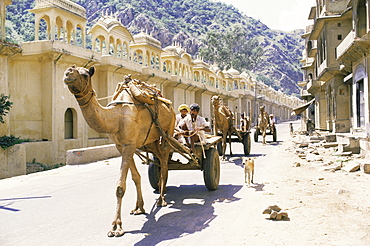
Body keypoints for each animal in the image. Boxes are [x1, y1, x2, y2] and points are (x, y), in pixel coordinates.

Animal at [62, 65, 176, 236]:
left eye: (85, 74)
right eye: (71, 69)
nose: (68, 72)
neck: (115, 118)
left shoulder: (129, 145)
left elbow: (120, 187)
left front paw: (116, 226)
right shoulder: (122, 146)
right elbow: (135, 177)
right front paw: (139, 208)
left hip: (168, 132)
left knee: (164, 162)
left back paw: (162, 199)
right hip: (151, 141)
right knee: (160, 159)